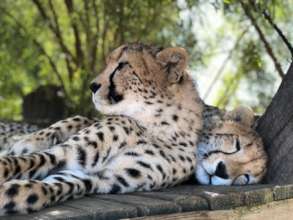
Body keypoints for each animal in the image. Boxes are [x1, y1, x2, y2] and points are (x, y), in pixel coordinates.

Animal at [0, 43, 266, 215]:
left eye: (122, 66)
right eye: (234, 145)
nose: (92, 85)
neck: (157, 124)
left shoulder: (97, 178)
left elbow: (44, 187)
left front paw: (12, 195)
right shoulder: (63, 153)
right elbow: (19, 162)